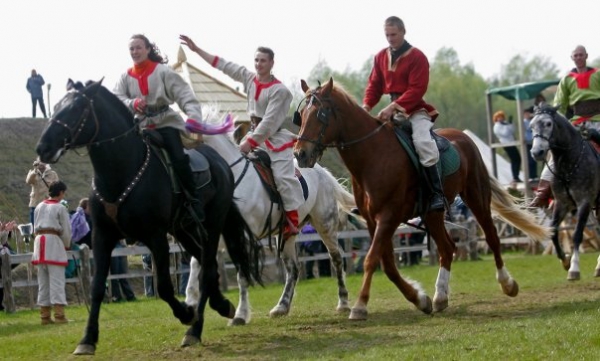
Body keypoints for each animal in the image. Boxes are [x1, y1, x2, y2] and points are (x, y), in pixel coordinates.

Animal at [35, 79, 262, 354]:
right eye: (57, 106)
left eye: (77, 108)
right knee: (207, 268)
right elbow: (97, 287)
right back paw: (222, 305)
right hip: (183, 231)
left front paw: (187, 313)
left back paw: (194, 330)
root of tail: (222, 164)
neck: (121, 172)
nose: (43, 148)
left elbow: (163, 286)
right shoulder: (102, 237)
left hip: (211, 226)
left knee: (207, 271)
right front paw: (87, 339)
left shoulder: (156, 237)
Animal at [185, 128, 358, 322]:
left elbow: (242, 273)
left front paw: (241, 314)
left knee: (336, 259)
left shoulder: (244, 237)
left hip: (325, 225)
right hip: (288, 235)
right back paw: (282, 306)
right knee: (293, 269)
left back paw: (343, 302)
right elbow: (196, 263)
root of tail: (322, 173)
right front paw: (190, 301)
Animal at [292, 78, 552, 318]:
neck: (373, 156)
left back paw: (507, 283)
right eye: (301, 115)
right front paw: (420, 299)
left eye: (321, 114)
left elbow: (371, 259)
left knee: (491, 237)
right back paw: (440, 297)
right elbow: (388, 265)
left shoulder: (388, 217)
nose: (300, 154)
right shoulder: (373, 221)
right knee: (447, 248)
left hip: (476, 199)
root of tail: (464, 139)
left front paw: (360, 306)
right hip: (432, 214)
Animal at [528, 104, 600, 278]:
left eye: (548, 123)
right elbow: (553, 230)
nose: (536, 152)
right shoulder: (561, 203)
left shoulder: (584, 202)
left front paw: (574, 268)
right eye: (531, 126)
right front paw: (565, 261)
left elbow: (577, 234)